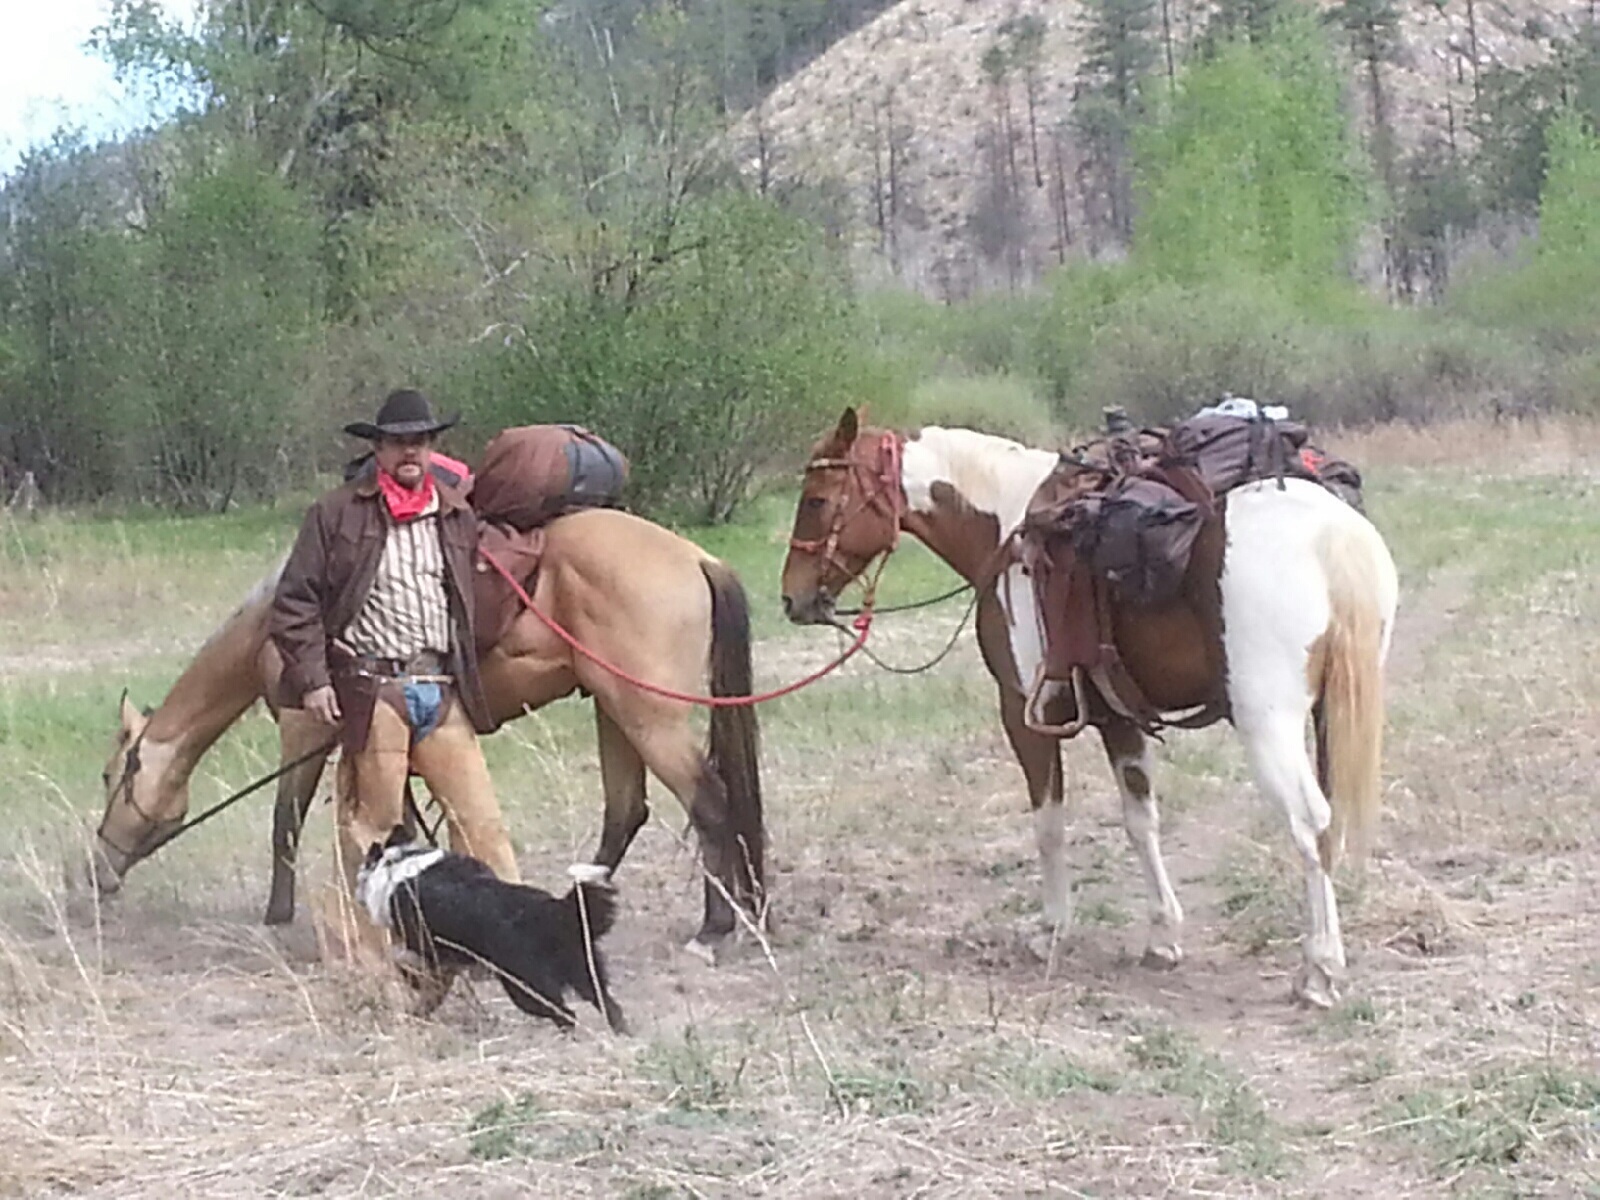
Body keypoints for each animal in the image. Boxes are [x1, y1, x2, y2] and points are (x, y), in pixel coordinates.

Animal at [93, 512, 768, 966]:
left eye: (109, 775)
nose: (97, 873)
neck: (276, 620)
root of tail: (696, 558)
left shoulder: (308, 726)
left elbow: (286, 818)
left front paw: (277, 916)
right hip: (616, 710)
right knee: (627, 811)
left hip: (648, 716)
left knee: (709, 804)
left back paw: (711, 931)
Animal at [355, 825, 624, 1036]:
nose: (356, 895)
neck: (396, 866)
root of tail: (552, 912)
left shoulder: (426, 946)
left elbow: (400, 955)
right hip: (584, 972)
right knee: (610, 1007)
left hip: (526, 988)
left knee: (567, 1015)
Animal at [780, 409, 1395, 1011]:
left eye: (816, 500)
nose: (791, 598)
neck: (1010, 528)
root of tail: (1329, 537)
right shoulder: (1120, 719)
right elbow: (1140, 821)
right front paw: (1163, 935)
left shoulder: (1025, 714)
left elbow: (1048, 824)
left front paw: (1052, 928)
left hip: (1269, 725)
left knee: (1309, 823)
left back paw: (1319, 970)